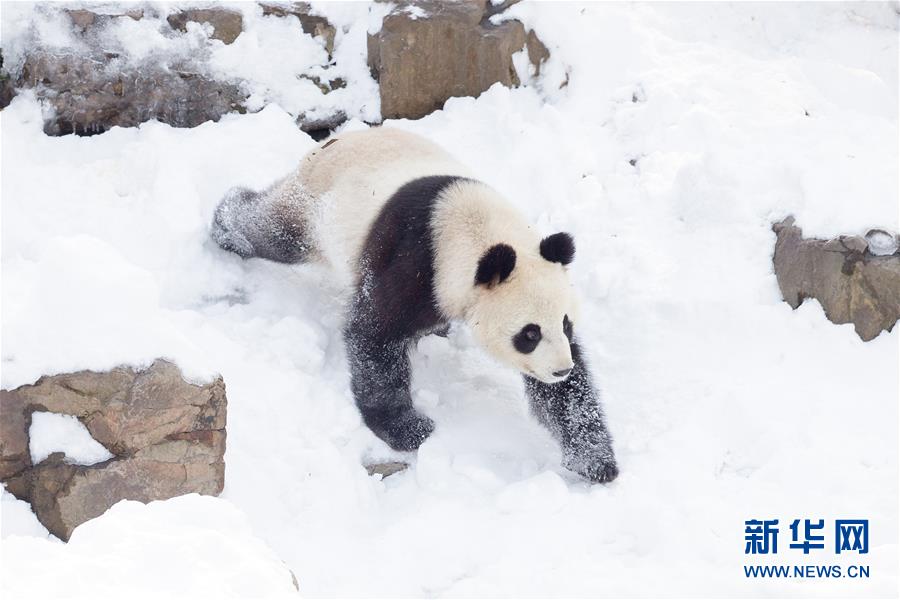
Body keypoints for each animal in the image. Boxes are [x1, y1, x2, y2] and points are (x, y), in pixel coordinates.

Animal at [213, 126, 620, 482]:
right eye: (529, 334)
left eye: (565, 324)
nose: (560, 370)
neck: (477, 235)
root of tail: (335, 139)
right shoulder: (416, 260)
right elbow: (375, 335)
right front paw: (408, 428)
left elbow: (567, 397)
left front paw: (594, 459)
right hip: (314, 206)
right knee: (274, 232)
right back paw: (227, 224)